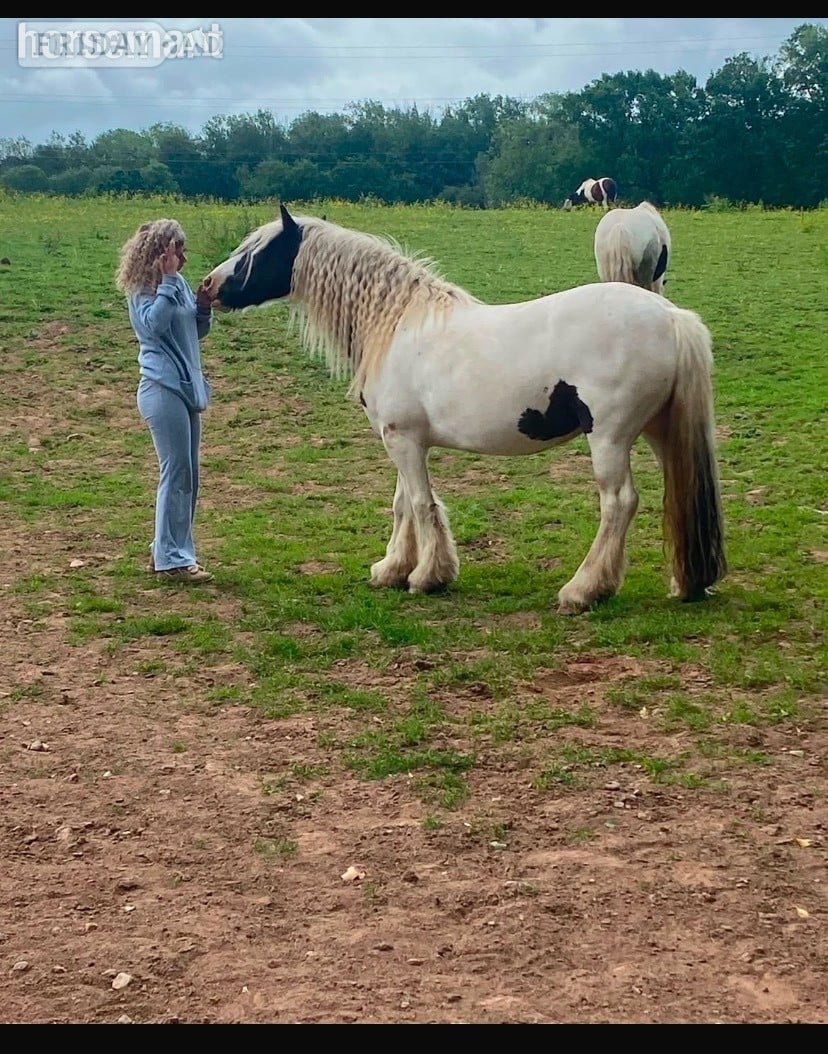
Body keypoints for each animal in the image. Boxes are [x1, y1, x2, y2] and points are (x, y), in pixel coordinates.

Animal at [200, 204, 726, 615]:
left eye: (255, 252)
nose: (207, 286)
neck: (397, 323)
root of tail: (670, 316)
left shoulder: (403, 440)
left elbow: (420, 504)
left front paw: (427, 577)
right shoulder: (402, 439)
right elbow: (402, 504)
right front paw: (391, 569)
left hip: (610, 438)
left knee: (619, 503)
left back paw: (583, 590)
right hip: (659, 431)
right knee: (678, 492)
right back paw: (687, 583)